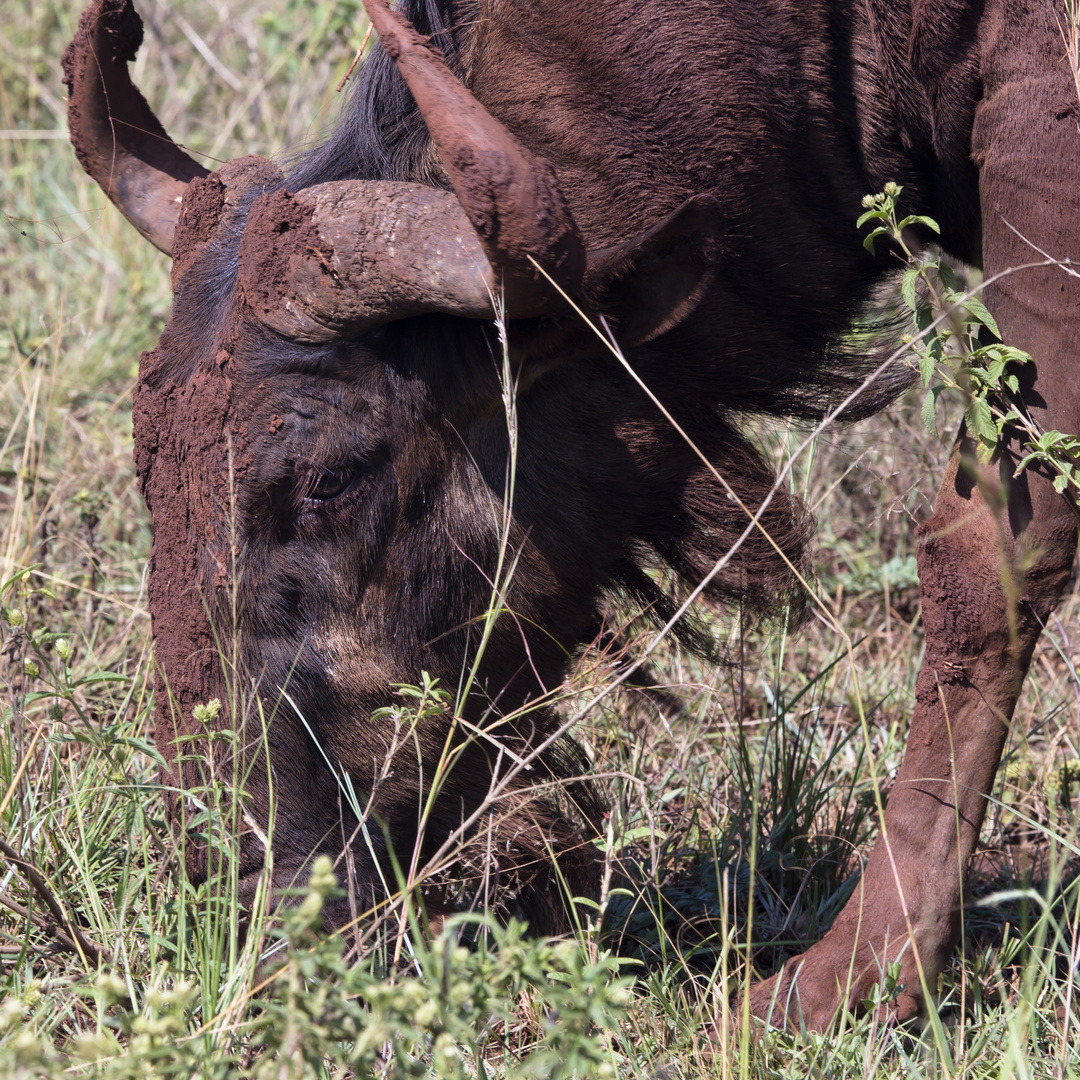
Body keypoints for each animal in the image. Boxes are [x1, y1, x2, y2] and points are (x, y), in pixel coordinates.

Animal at [65, 0, 1080, 1028]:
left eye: (330, 479)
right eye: (152, 470)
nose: (243, 903)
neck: (829, 35)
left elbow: (986, 557)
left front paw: (850, 978)